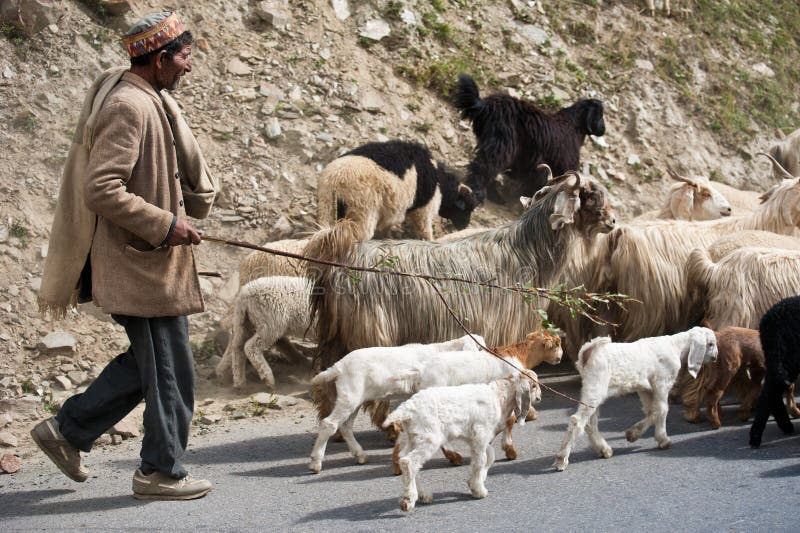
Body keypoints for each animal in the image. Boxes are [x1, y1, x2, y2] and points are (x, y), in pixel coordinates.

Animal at [384, 372, 540, 510]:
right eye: (533, 386)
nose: (539, 397)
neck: (498, 395)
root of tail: (408, 408)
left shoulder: (476, 440)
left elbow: (489, 456)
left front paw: (476, 481)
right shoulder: (480, 436)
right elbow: (480, 461)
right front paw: (479, 490)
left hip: (412, 439)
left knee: (406, 460)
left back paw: (423, 495)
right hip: (429, 439)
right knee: (408, 462)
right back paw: (408, 500)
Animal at [454, 72, 604, 202]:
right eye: (600, 114)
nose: (603, 130)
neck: (573, 126)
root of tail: (484, 105)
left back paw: (495, 196)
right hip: (501, 146)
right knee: (483, 167)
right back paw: (479, 193)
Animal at [556, 326, 720, 472]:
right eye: (710, 344)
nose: (715, 357)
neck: (676, 346)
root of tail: (588, 352)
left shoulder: (645, 389)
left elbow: (651, 411)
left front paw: (634, 434)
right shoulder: (662, 383)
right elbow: (662, 410)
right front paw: (661, 439)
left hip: (593, 391)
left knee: (590, 422)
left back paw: (604, 449)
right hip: (596, 386)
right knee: (577, 421)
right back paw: (561, 459)